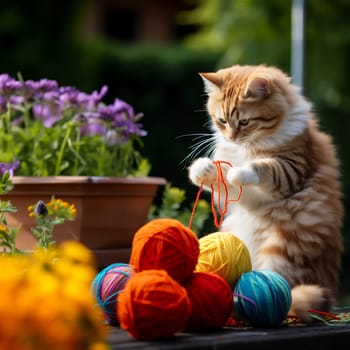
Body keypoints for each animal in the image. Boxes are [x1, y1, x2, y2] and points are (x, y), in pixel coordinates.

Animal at [189, 64, 342, 322]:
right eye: (222, 121)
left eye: (244, 122)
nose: (231, 137)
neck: (248, 146)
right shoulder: (242, 195)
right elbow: (220, 175)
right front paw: (203, 168)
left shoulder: (292, 170)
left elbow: (262, 167)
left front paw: (239, 171)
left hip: (281, 249)